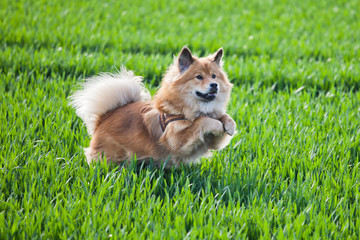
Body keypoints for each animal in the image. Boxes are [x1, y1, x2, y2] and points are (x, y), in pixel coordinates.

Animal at [71, 47, 238, 167]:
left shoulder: (210, 141)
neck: (187, 109)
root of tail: (103, 119)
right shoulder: (177, 139)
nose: (214, 85)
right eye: (199, 77)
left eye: (214, 76)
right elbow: (203, 121)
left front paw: (229, 125)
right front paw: (218, 124)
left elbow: (222, 117)